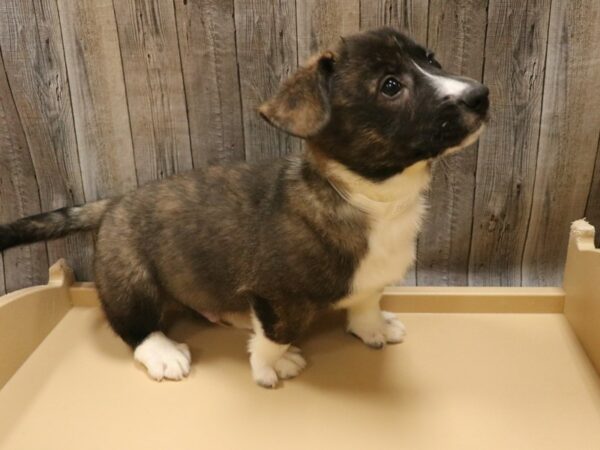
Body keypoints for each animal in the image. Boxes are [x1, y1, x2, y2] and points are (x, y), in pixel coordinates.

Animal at [0, 27, 488, 386]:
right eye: (390, 86)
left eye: (432, 59)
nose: (481, 95)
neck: (371, 197)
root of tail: (113, 203)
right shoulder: (276, 295)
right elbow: (278, 333)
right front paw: (272, 365)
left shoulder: (369, 280)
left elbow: (366, 301)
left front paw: (372, 329)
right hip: (130, 279)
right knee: (131, 325)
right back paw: (162, 352)